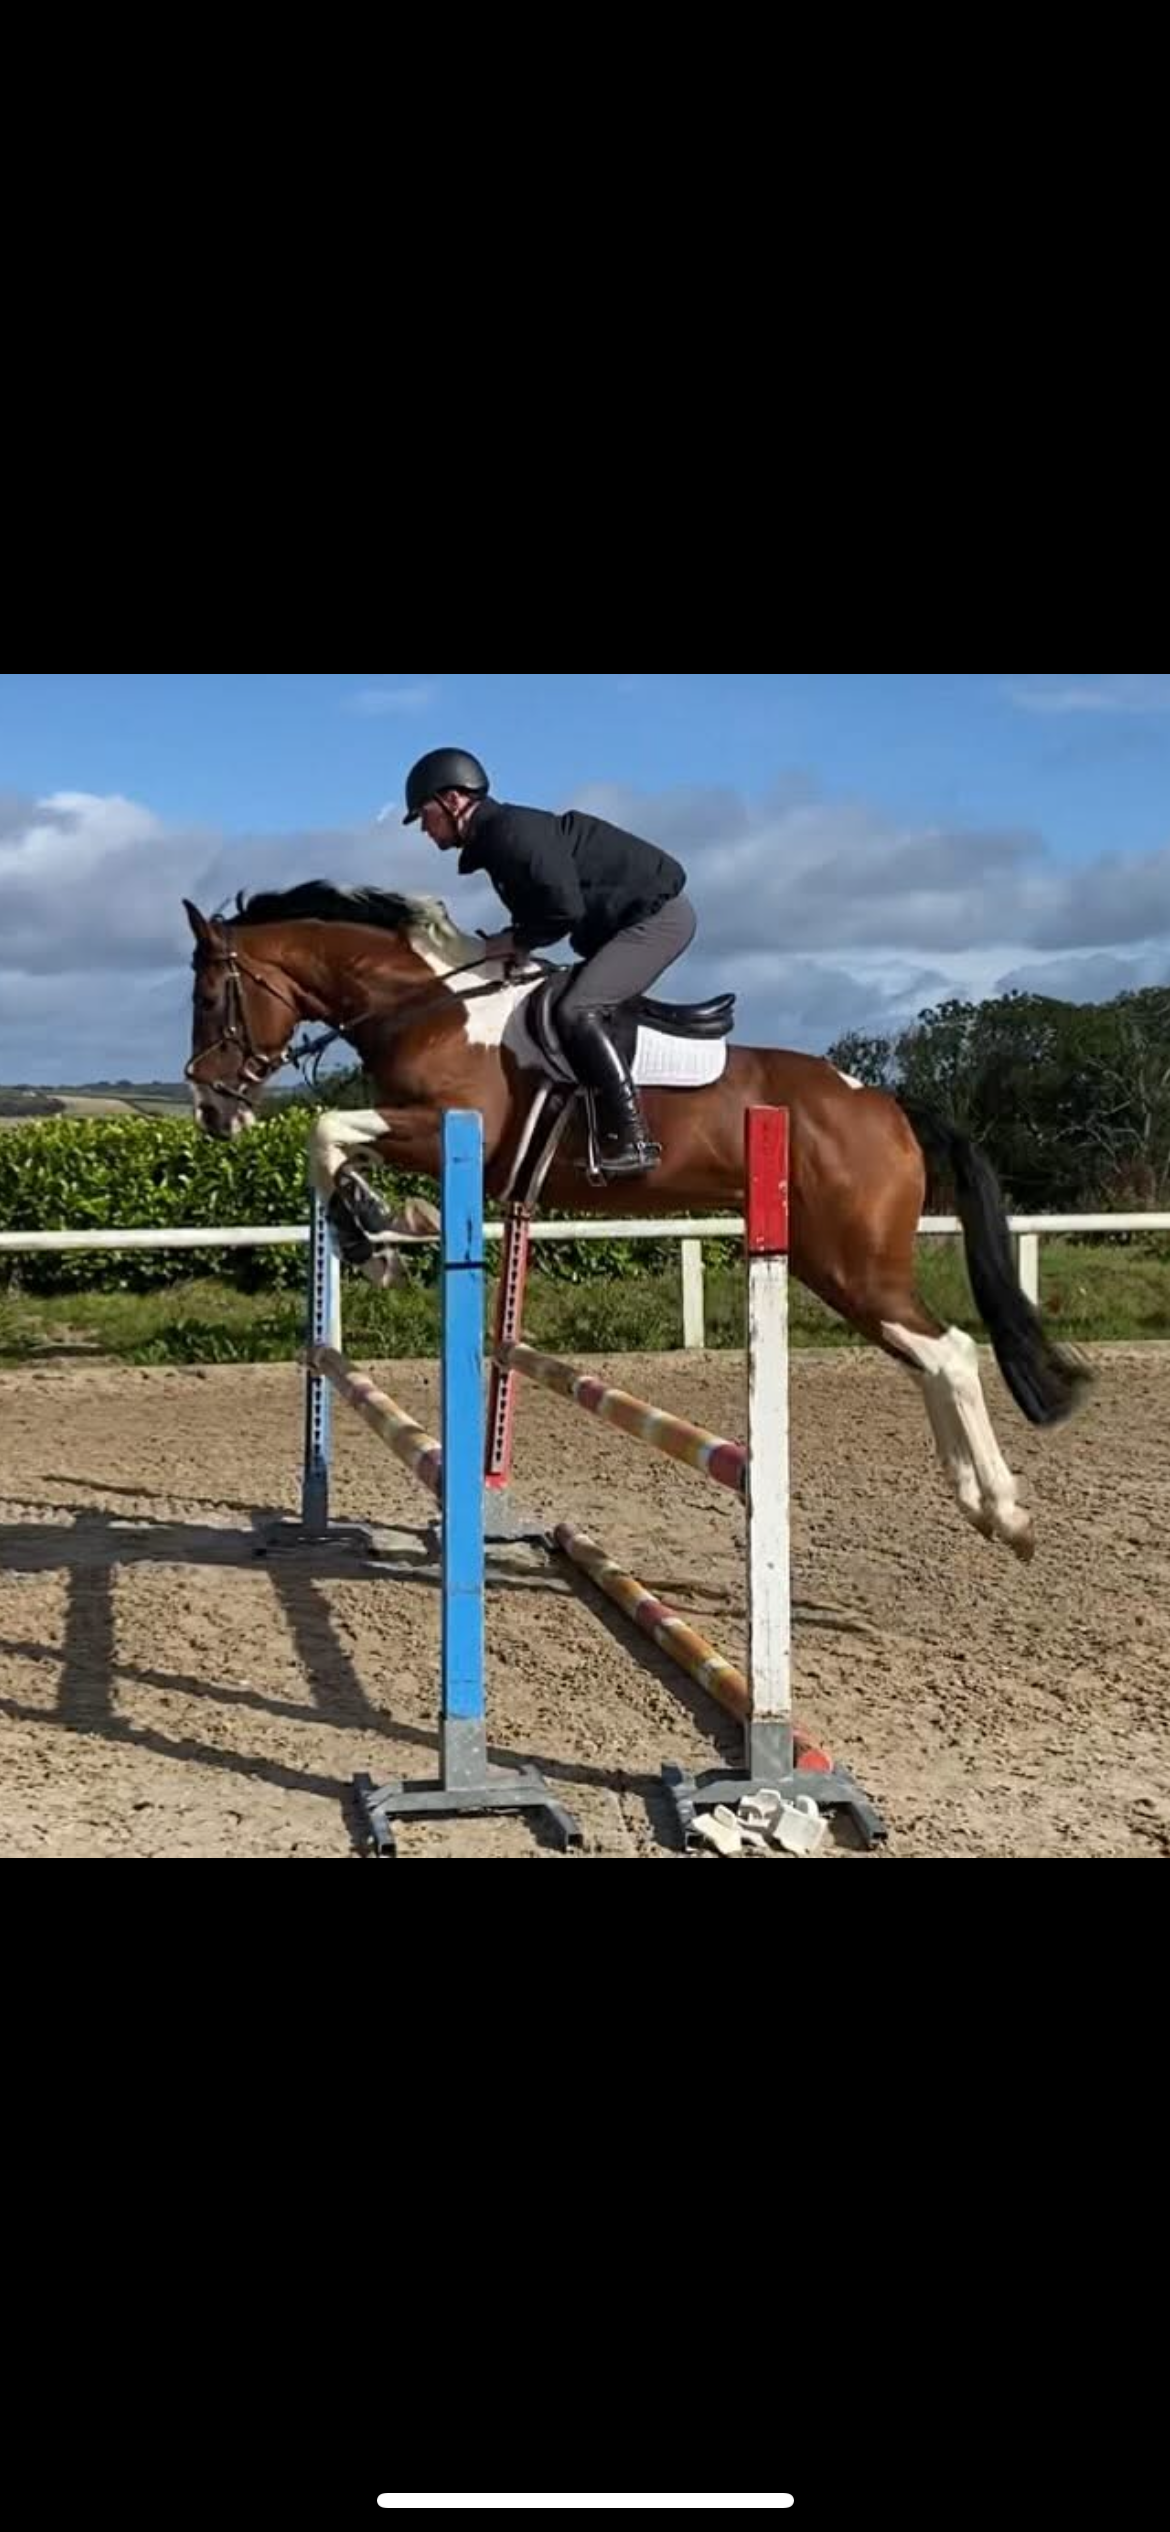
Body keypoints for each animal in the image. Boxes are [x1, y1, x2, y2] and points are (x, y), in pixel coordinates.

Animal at [183, 883, 1090, 1561]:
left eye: (210, 995)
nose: (211, 1112)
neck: (431, 1006)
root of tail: (885, 1102)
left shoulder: (441, 1123)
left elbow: (323, 1129)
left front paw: (382, 1233)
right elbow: (330, 1145)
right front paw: (374, 1234)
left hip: (852, 1262)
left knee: (951, 1351)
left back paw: (1006, 1514)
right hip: (833, 1264)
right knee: (928, 1358)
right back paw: (979, 1506)